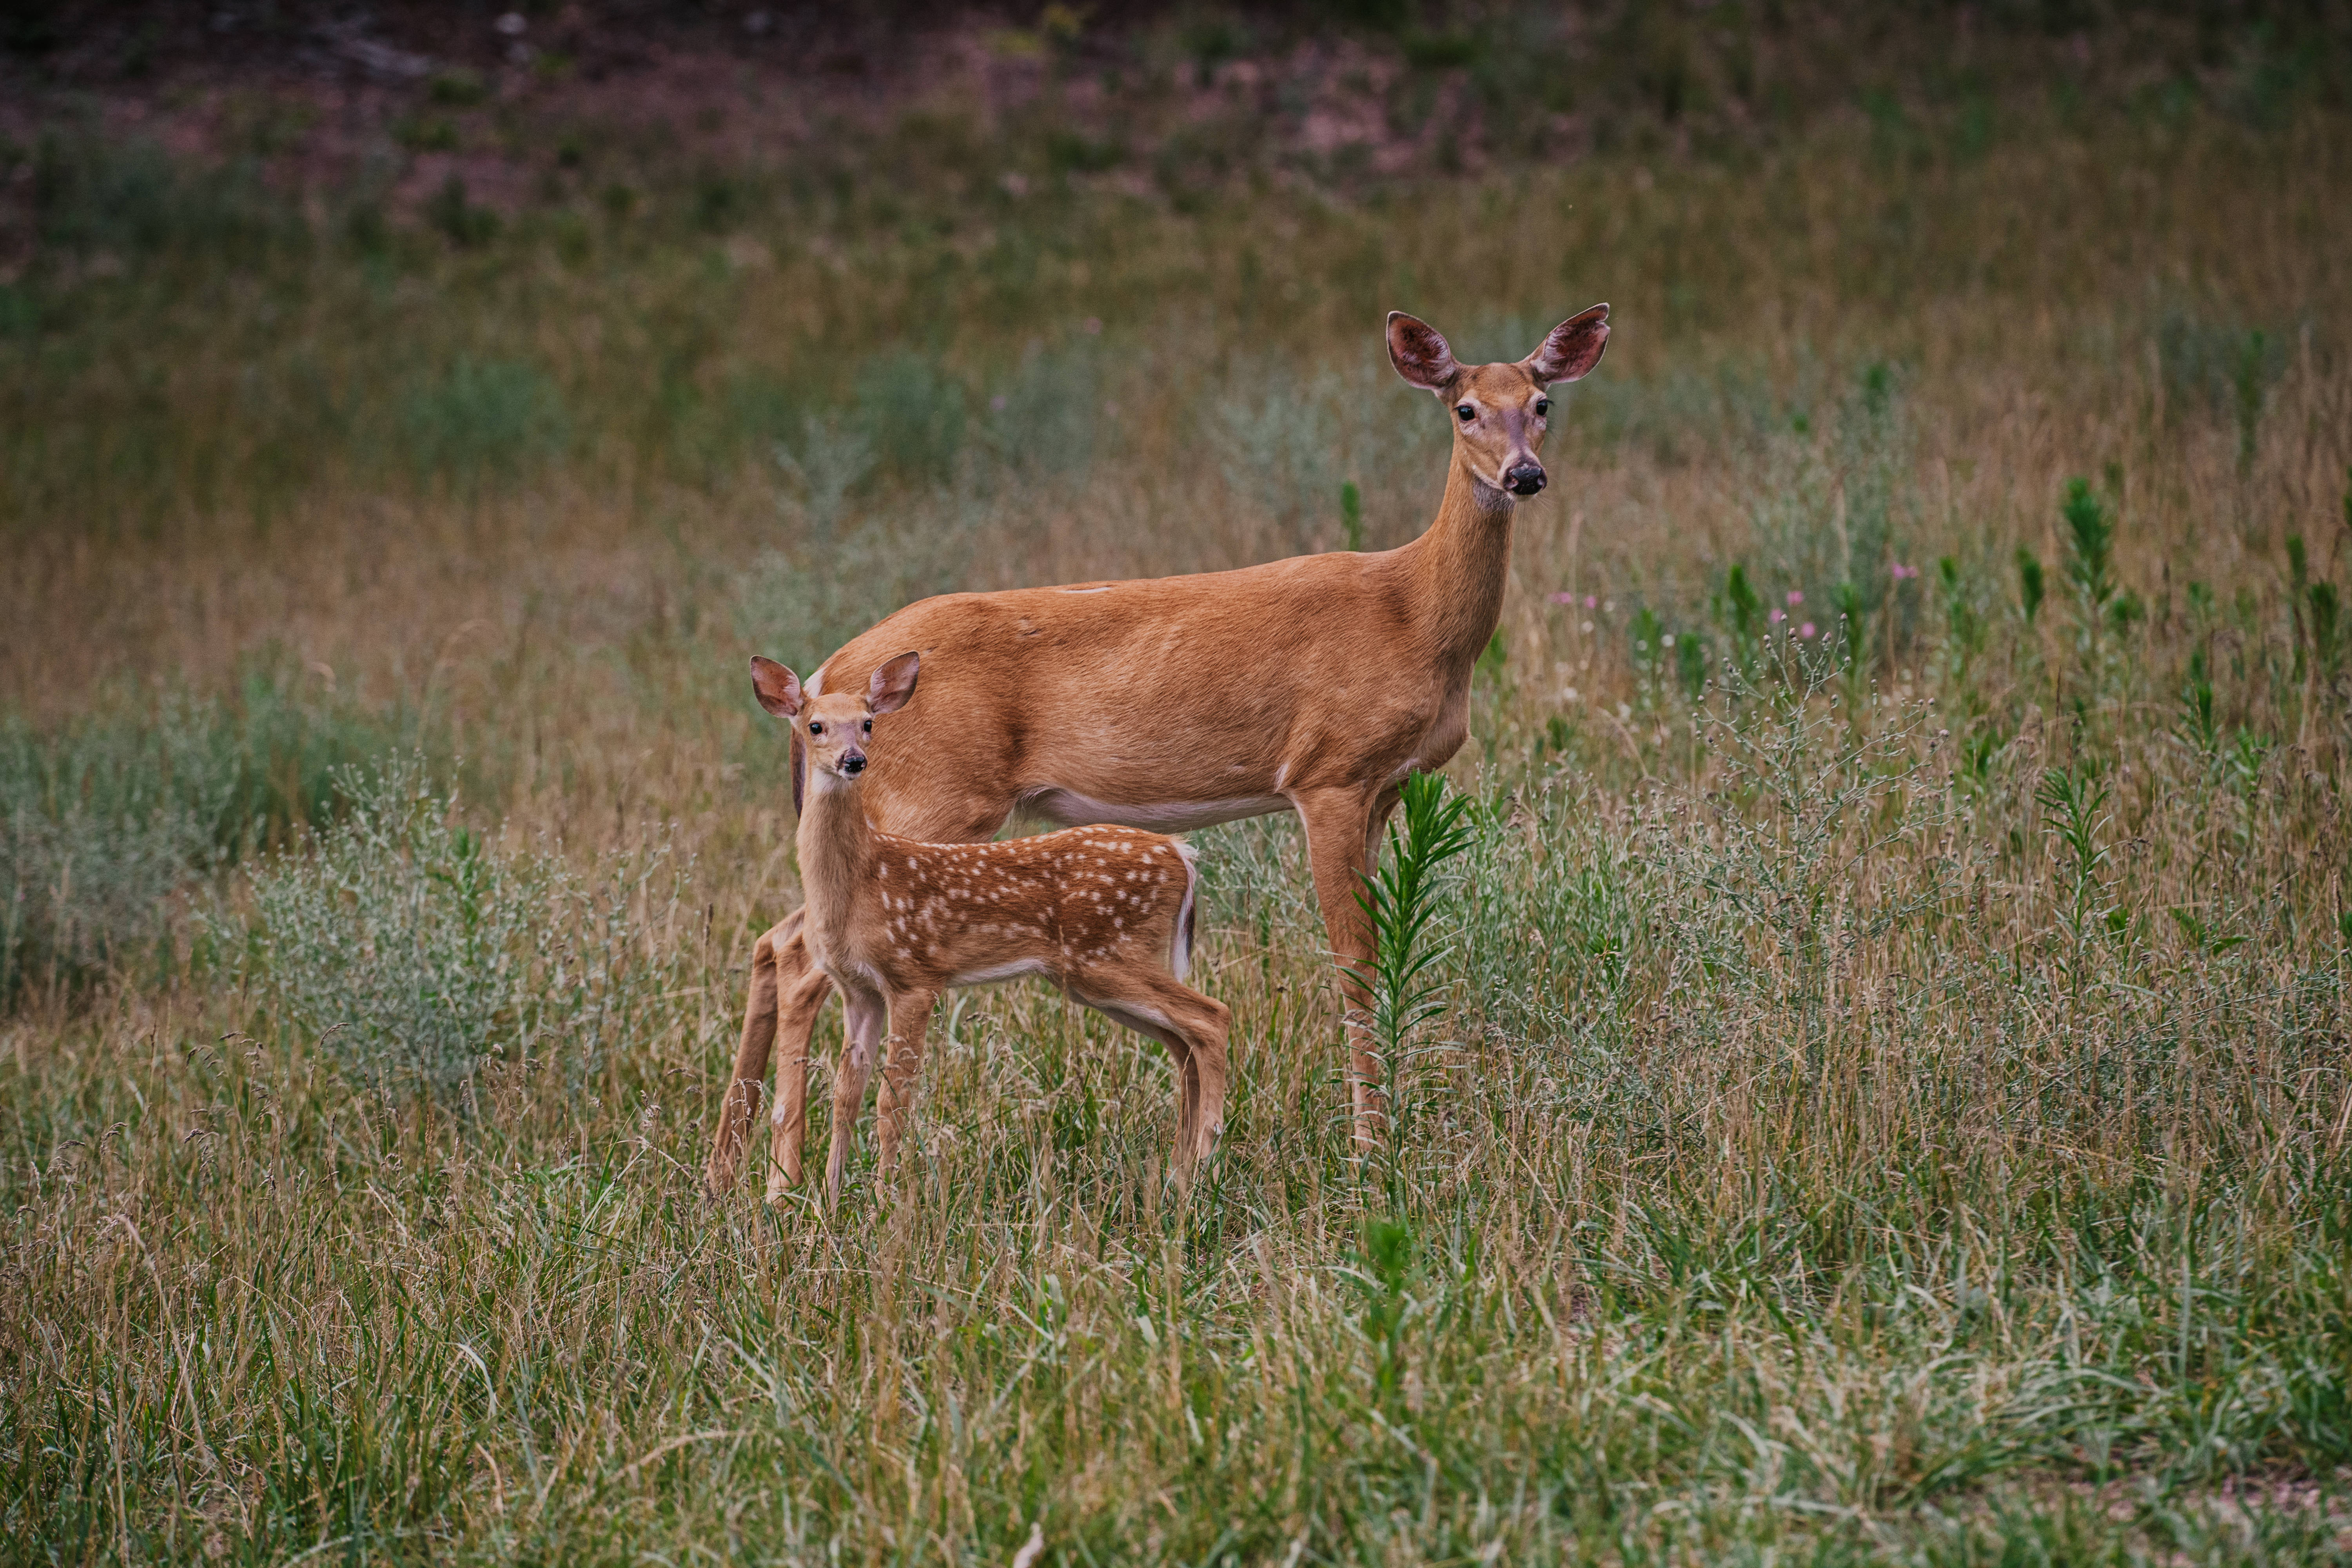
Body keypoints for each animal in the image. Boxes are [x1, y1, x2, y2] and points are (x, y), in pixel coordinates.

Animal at [748, 649, 1230, 1204]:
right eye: (815, 726)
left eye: (868, 723)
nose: (853, 760)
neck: (862, 883)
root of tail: (1182, 855)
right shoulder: (858, 989)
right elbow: (847, 1097)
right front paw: (827, 1202)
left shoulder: (916, 975)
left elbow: (893, 1101)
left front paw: (883, 1201)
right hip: (1100, 974)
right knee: (1185, 1042)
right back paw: (1179, 1173)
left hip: (1109, 954)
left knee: (1212, 1018)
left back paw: (1206, 1168)